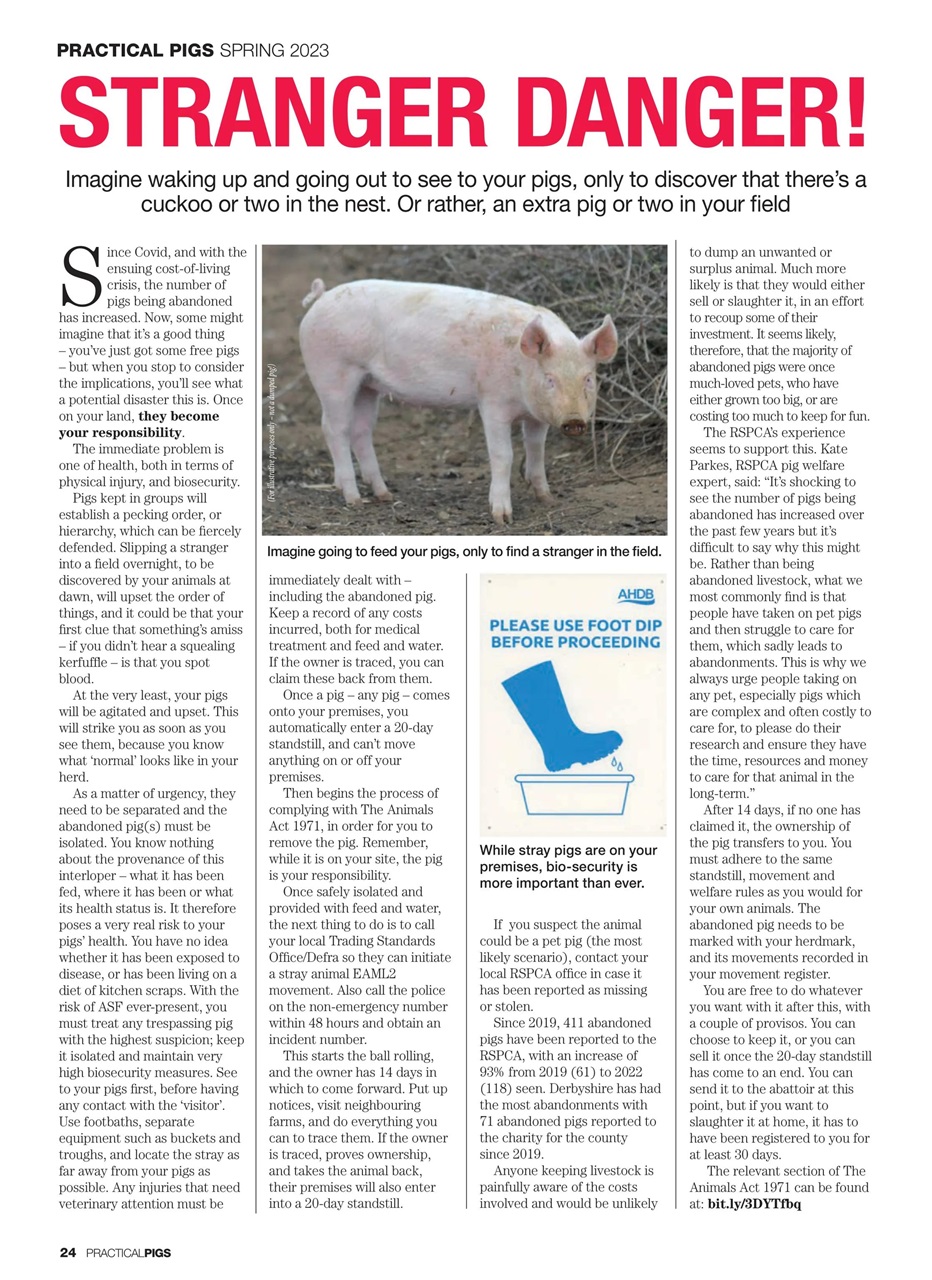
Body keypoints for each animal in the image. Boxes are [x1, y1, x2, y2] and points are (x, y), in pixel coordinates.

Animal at [298, 278, 618, 524]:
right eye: (550, 378)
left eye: (588, 378)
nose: (574, 420)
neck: (521, 369)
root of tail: (321, 297)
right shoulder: (492, 402)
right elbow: (503, 456)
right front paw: (502, 517)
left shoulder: (536, 415)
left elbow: (536, 450)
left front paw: (547, 499)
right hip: (332, 373)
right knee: (334, 429)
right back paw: (353, 499)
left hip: (367, 385)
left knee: (361, 430)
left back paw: (384, 494)